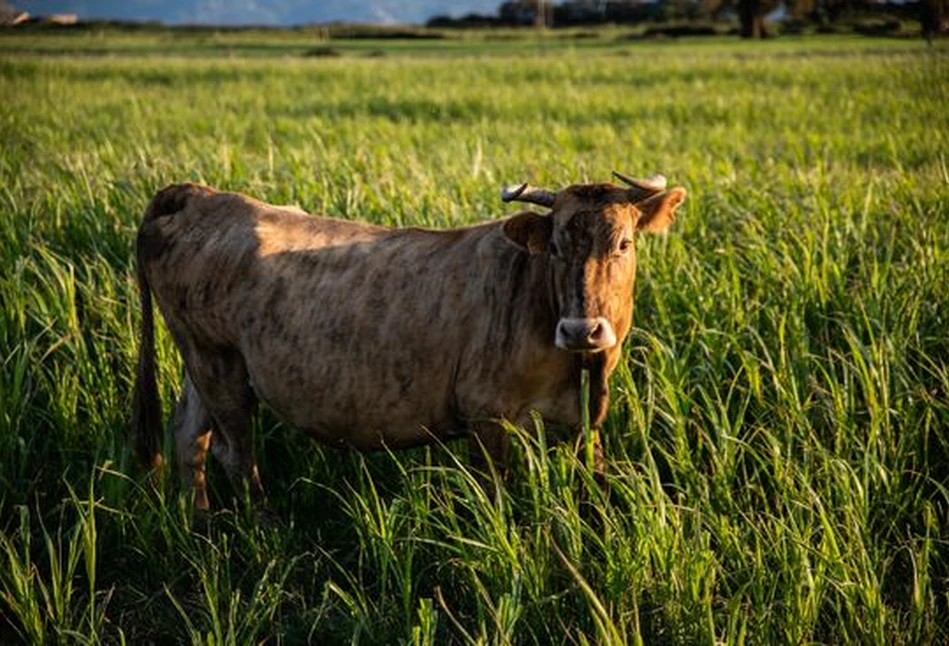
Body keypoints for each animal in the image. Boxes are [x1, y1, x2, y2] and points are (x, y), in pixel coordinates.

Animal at [131, 173, 680, 512]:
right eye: (558, 247)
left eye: (624, 243)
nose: (582, 330)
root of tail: (201, 194)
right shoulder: (486, 416)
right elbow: (497, 497)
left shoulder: (583, 421)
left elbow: (596, 482)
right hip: (217, 362)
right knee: (235, 453)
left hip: (202, 362)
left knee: (189, 437)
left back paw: (200, 524)